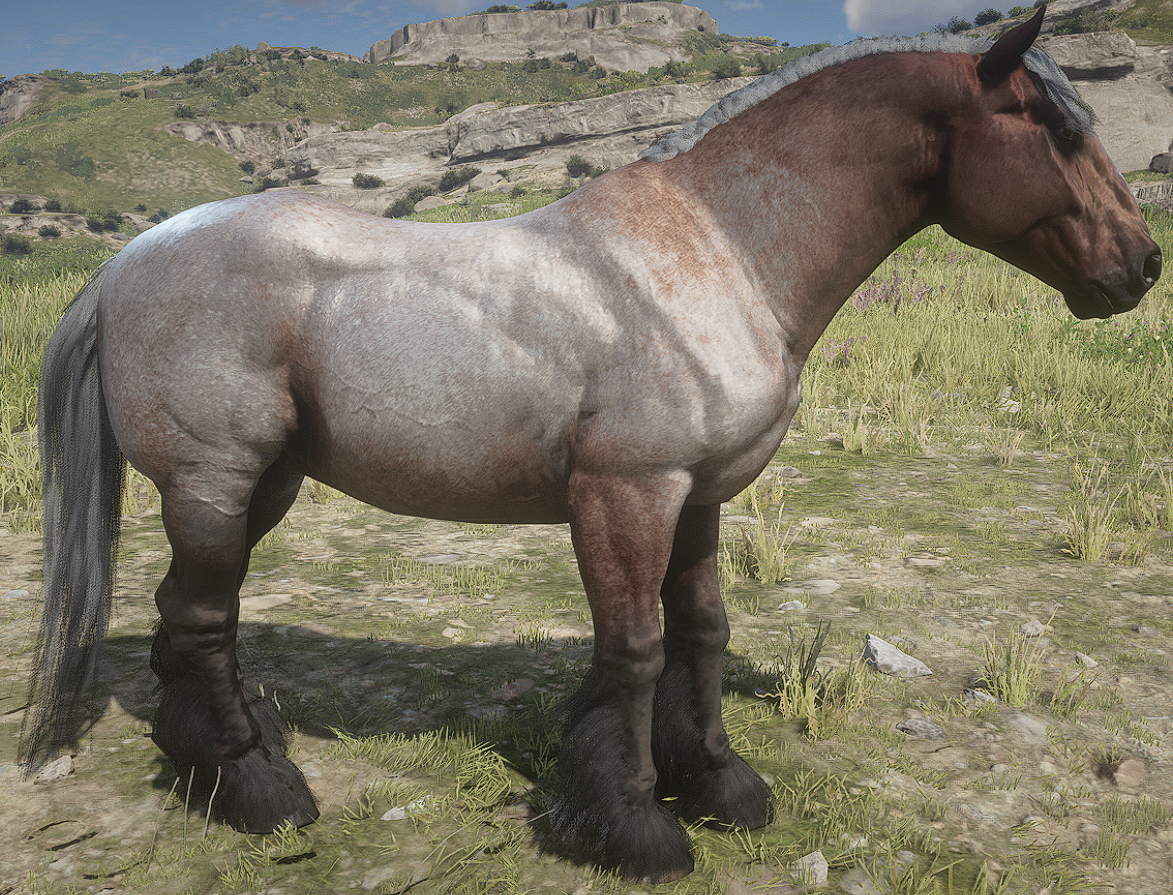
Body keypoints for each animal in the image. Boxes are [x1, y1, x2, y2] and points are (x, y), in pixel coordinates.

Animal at [22, 6, 1160, 883]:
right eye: (1055, 131)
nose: (1142, 265)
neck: (719, 248)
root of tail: (128, 260)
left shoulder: (698, 497)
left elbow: (701, 631)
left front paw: (718, 781)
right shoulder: (626, 493)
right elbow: (634, 649)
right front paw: (631, 823)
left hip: (262, 487)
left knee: (182, 617)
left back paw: (207, 762)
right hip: (216, 482)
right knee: (203, 621)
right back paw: (258, 788)